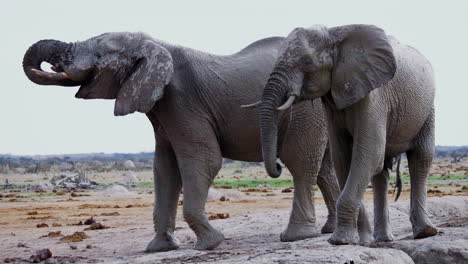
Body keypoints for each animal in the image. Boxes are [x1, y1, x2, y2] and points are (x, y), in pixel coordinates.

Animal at [22, 32, 340, 252]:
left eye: (101, 53)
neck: (154, 45)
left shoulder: (182, 101)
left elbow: (203, 160)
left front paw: (211, 244)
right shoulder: (161, 108)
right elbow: (165, 170)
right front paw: (159, 248)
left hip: (303, 108)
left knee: (302, 164)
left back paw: (297, 236)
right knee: (324, 168)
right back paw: (330, 231)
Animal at [249, 24, 438, 245]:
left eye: (307, 63)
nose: (278, 167)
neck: (335, 35)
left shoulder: (373, 95)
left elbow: (368, 154)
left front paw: (339, 240)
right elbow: (344, 159)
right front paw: (360, 241)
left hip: (428, 109)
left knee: (421, 158)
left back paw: (425, 232)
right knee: (381, 173)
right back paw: (382, 240)